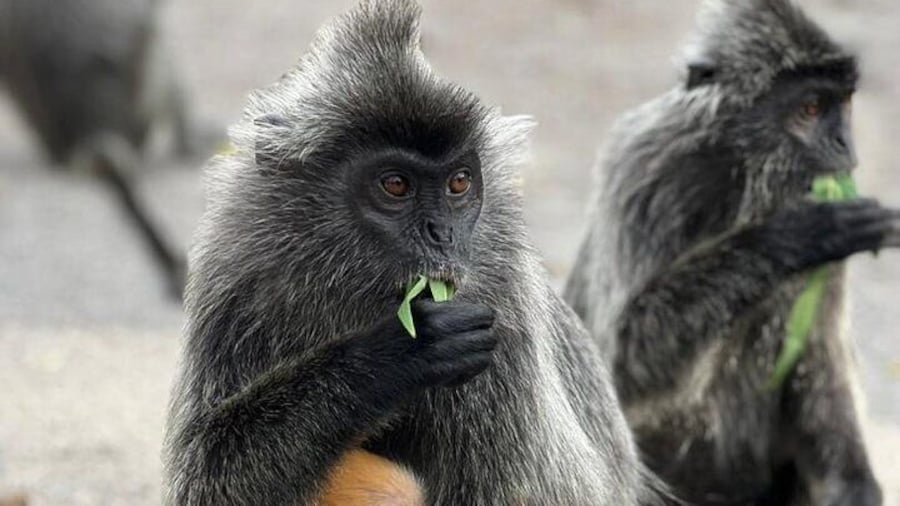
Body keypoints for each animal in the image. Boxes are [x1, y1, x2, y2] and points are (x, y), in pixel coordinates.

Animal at [162, 1, 661, 504]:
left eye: (458, 183)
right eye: (396, 185)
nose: (442, 234)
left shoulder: (504, 313)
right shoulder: (238, 273)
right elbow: (207, 470)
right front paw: (394, 355)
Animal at [564, 0, 900, 504]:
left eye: (841, 106)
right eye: (810, 108)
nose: (845, 144)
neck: (740, 176)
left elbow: (819, 356)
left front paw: (854, 486)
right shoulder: (647, 170)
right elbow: (622, 356)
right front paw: (802, 232)